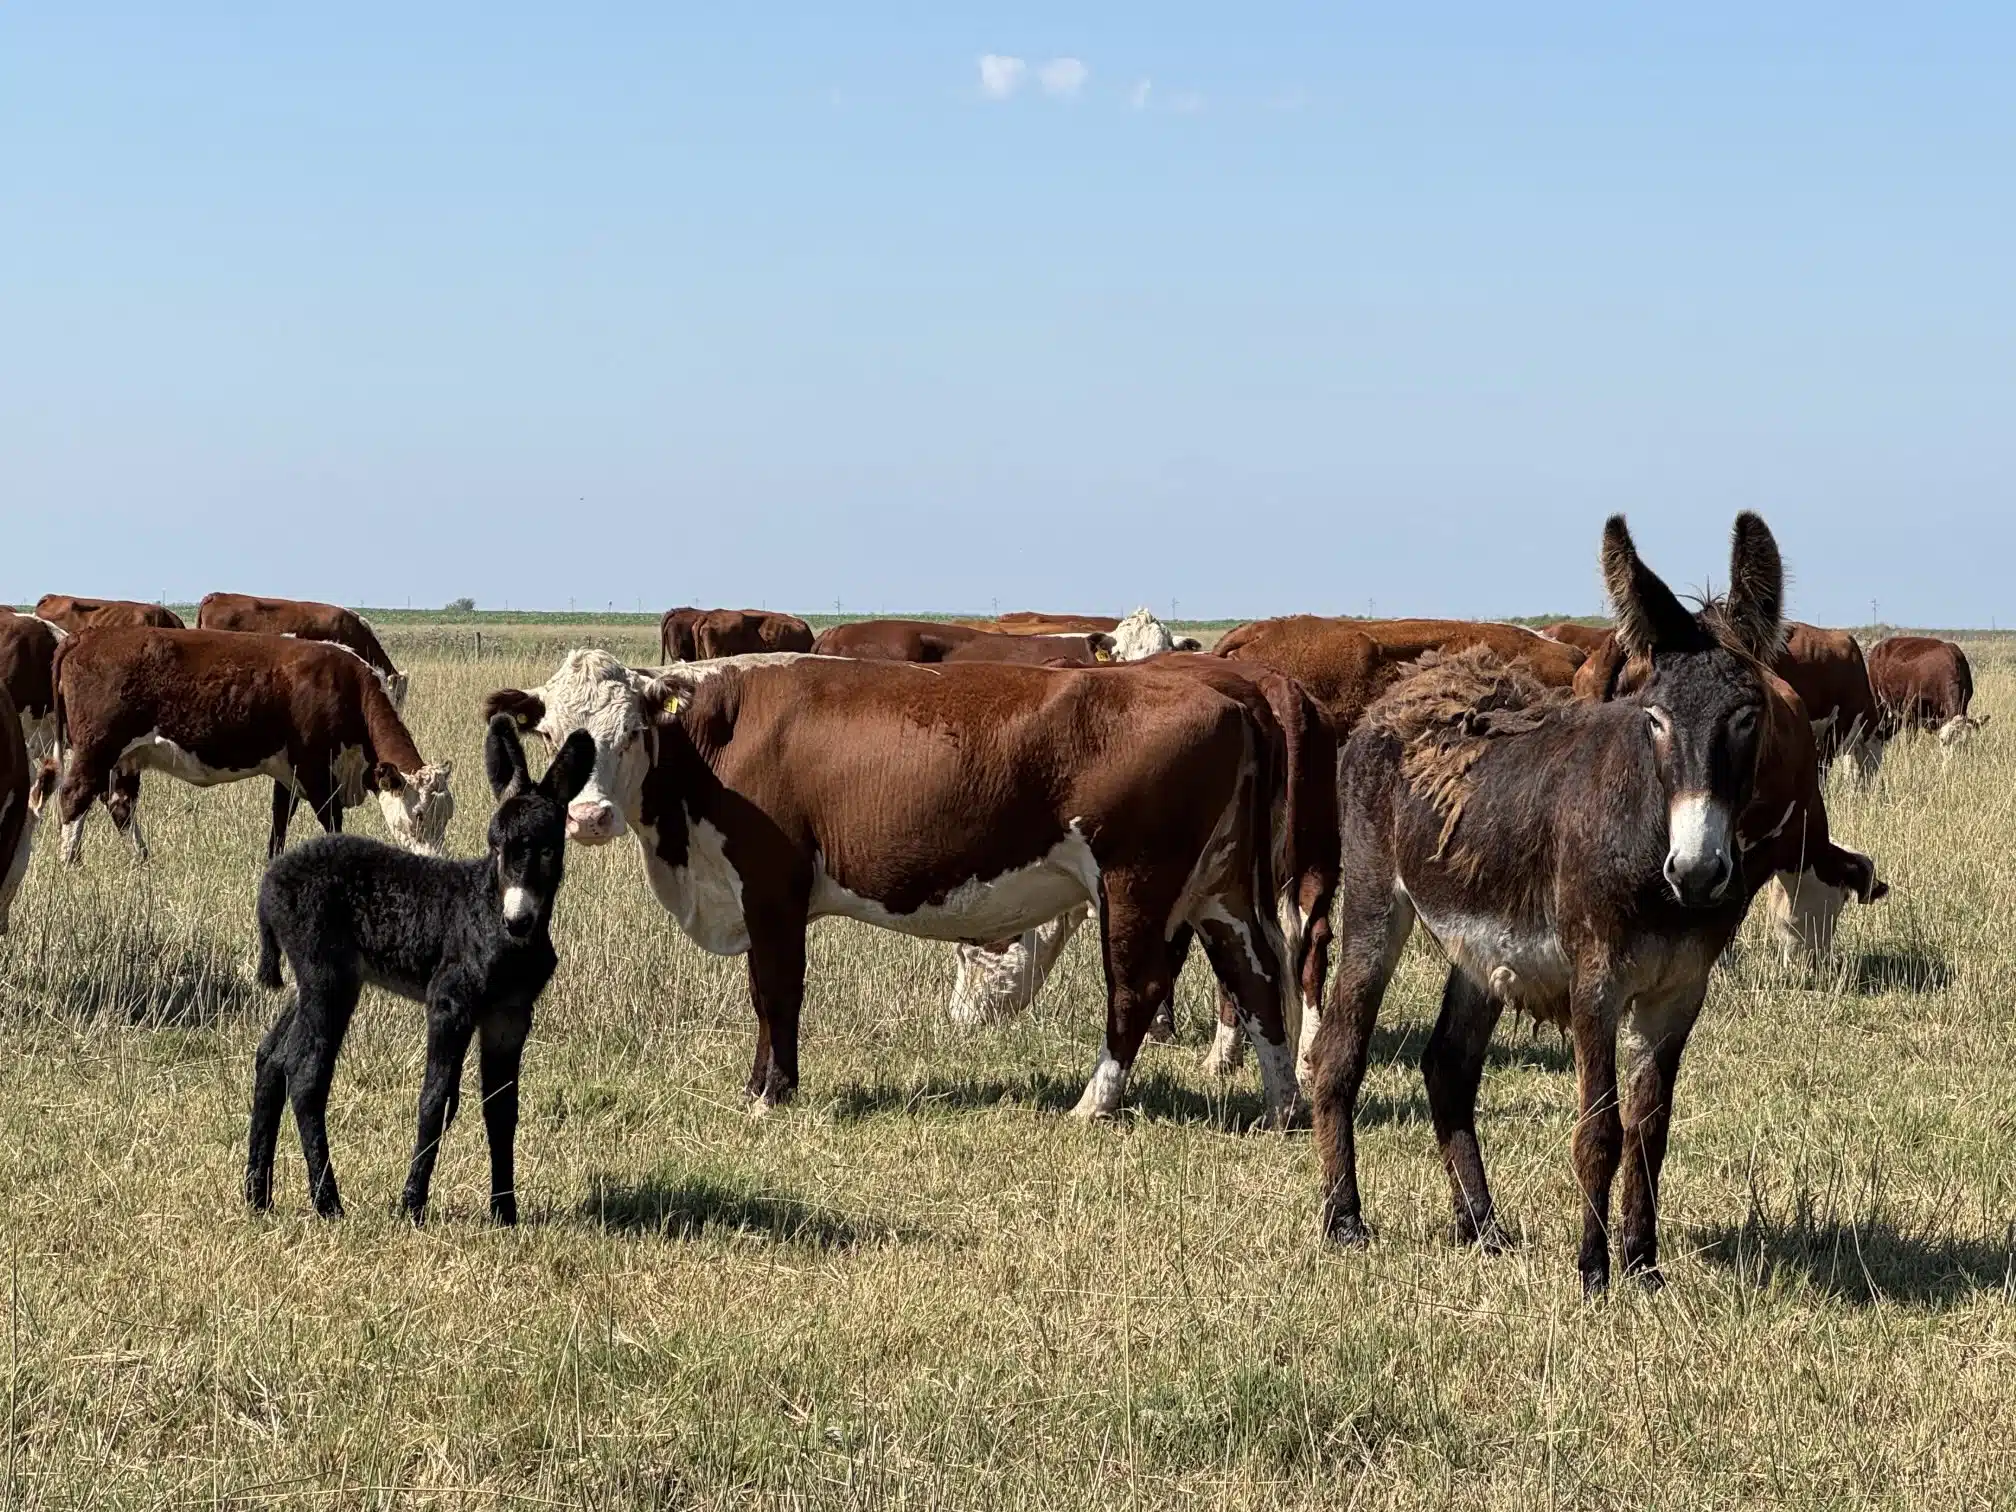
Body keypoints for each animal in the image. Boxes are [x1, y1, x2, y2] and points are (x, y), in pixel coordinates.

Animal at [50, 628, 454, 864]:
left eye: (447, 815)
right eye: (419, 815)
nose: (436, 860)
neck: (346, 686)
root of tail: (84, 636)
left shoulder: (289, 771)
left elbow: (280, 820)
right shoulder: (315, 769)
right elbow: (332, 821)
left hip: (127, 756)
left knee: (119, 803)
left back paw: (142, 860)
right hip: (96, 747)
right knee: (75, 796)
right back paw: (71, 862)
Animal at [245, 716, 593, 1223]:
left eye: (548, 850)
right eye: (495, 846)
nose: (517, 921)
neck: (487, 911)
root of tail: (269, 882)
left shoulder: (509, 1016)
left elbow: (502, 1108)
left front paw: (505, 1212)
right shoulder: (449, 1001)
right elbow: (436, 1098)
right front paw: (412, 1204)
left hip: (316, 979)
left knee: (271, 1057)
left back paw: (258, 1195)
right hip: (327, 977)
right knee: (305, 1071)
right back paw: (328, 1201)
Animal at [485, 651, 1303, 1126]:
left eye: (630, 734)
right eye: (552, 736)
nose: (588, 816)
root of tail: (1226, 688)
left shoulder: (773, 889)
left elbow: (776, 993)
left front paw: (770, 1095)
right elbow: (767, 997)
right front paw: (761, 1088)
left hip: (1139, 881)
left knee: (1138, 987)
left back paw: (1091, 1104)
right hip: (1220, 888)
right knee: (1259, 979)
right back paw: (1283, 1106)